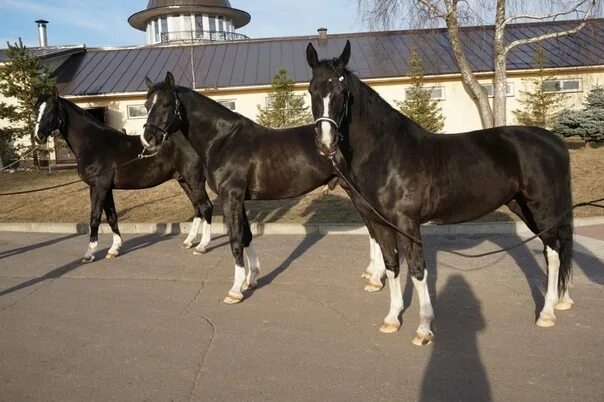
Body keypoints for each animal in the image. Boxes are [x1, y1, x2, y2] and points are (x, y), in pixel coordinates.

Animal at [34, 88, 215, 262]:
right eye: (36, 109)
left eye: (51, 110)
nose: (38, 136)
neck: (93, 143)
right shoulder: (106, 188)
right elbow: (111, 216)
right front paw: (114, 249)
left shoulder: (98, 187)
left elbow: (95, 217)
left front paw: (89, 254)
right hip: (184, 180)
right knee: (197, 207)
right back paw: (189, 242)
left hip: (194, 180)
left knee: (206, 207)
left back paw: (202, 246)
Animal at [141, 73, 384, 304]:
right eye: (145, 105)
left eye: (166, 104)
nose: (148, 138)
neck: (223, 140)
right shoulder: (239, 198)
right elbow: (247, 236)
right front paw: (251, 278)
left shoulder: (231, 196)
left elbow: (236, 239)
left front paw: (235, 291)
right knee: (373, 230)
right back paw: (373, 274)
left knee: (377, 229)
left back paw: (377, 279)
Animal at [306, 40, 576, 346]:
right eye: (312, 90)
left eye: (342, 92)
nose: (326, 143)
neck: (389, 153)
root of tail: (554, 141)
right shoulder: (381, 224)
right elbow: (392, 265)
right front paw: (392, 318)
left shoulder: (407, 224)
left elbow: (417, 270)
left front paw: (424, 328)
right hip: (523, 207)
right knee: (557, 247)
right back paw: (562, 300)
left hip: (542, 208)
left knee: (553, 252)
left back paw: (547, 312)